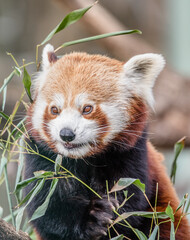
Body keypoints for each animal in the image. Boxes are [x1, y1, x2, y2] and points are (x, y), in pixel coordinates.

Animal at [23, 44, 190, 239]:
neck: (84, 158)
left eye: (87, 109)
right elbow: (46, 207)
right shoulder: (42, 157)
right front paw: (93, 218)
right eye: (54, 110)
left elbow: (130, 199)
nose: (66, 134)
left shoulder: (131, 154)